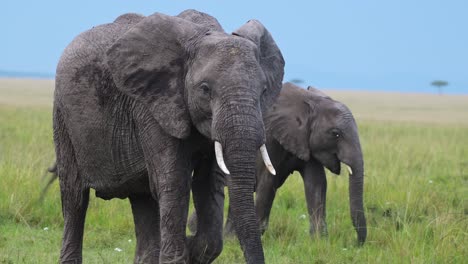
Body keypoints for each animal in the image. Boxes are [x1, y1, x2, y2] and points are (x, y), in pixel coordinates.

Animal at [53, 8, 284, 264]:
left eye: (264, 90)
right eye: (205, 89)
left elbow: (209, 183)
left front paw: (191, 248)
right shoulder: (153, 104)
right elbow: (175, 183)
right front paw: (184, 249)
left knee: (142, 199)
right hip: (62, 119)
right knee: (74, 197)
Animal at [188, 82, 368, 243]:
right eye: (335, 133)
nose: (356, 243)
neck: (308, 101)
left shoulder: (305, 141)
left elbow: (316, 184)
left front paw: (319, 241)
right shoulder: (268, 137)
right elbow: (268, 183)